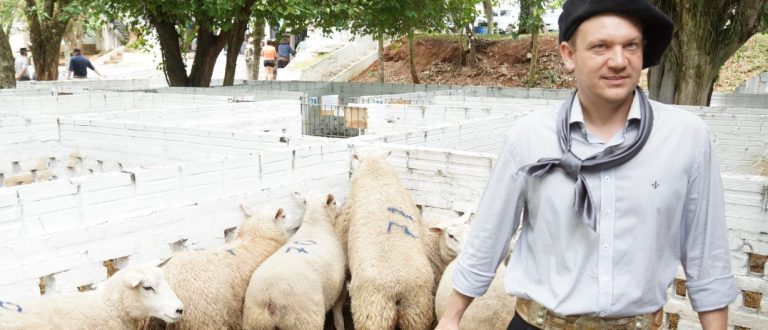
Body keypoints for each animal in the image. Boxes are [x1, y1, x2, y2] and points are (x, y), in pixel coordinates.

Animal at [243, 192, 344, 330]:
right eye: (334, 203)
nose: (342, 205)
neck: (315, 225)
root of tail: (271, 298)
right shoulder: (339, 287)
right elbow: (338, 315)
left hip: (256, 321)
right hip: (303, 319)